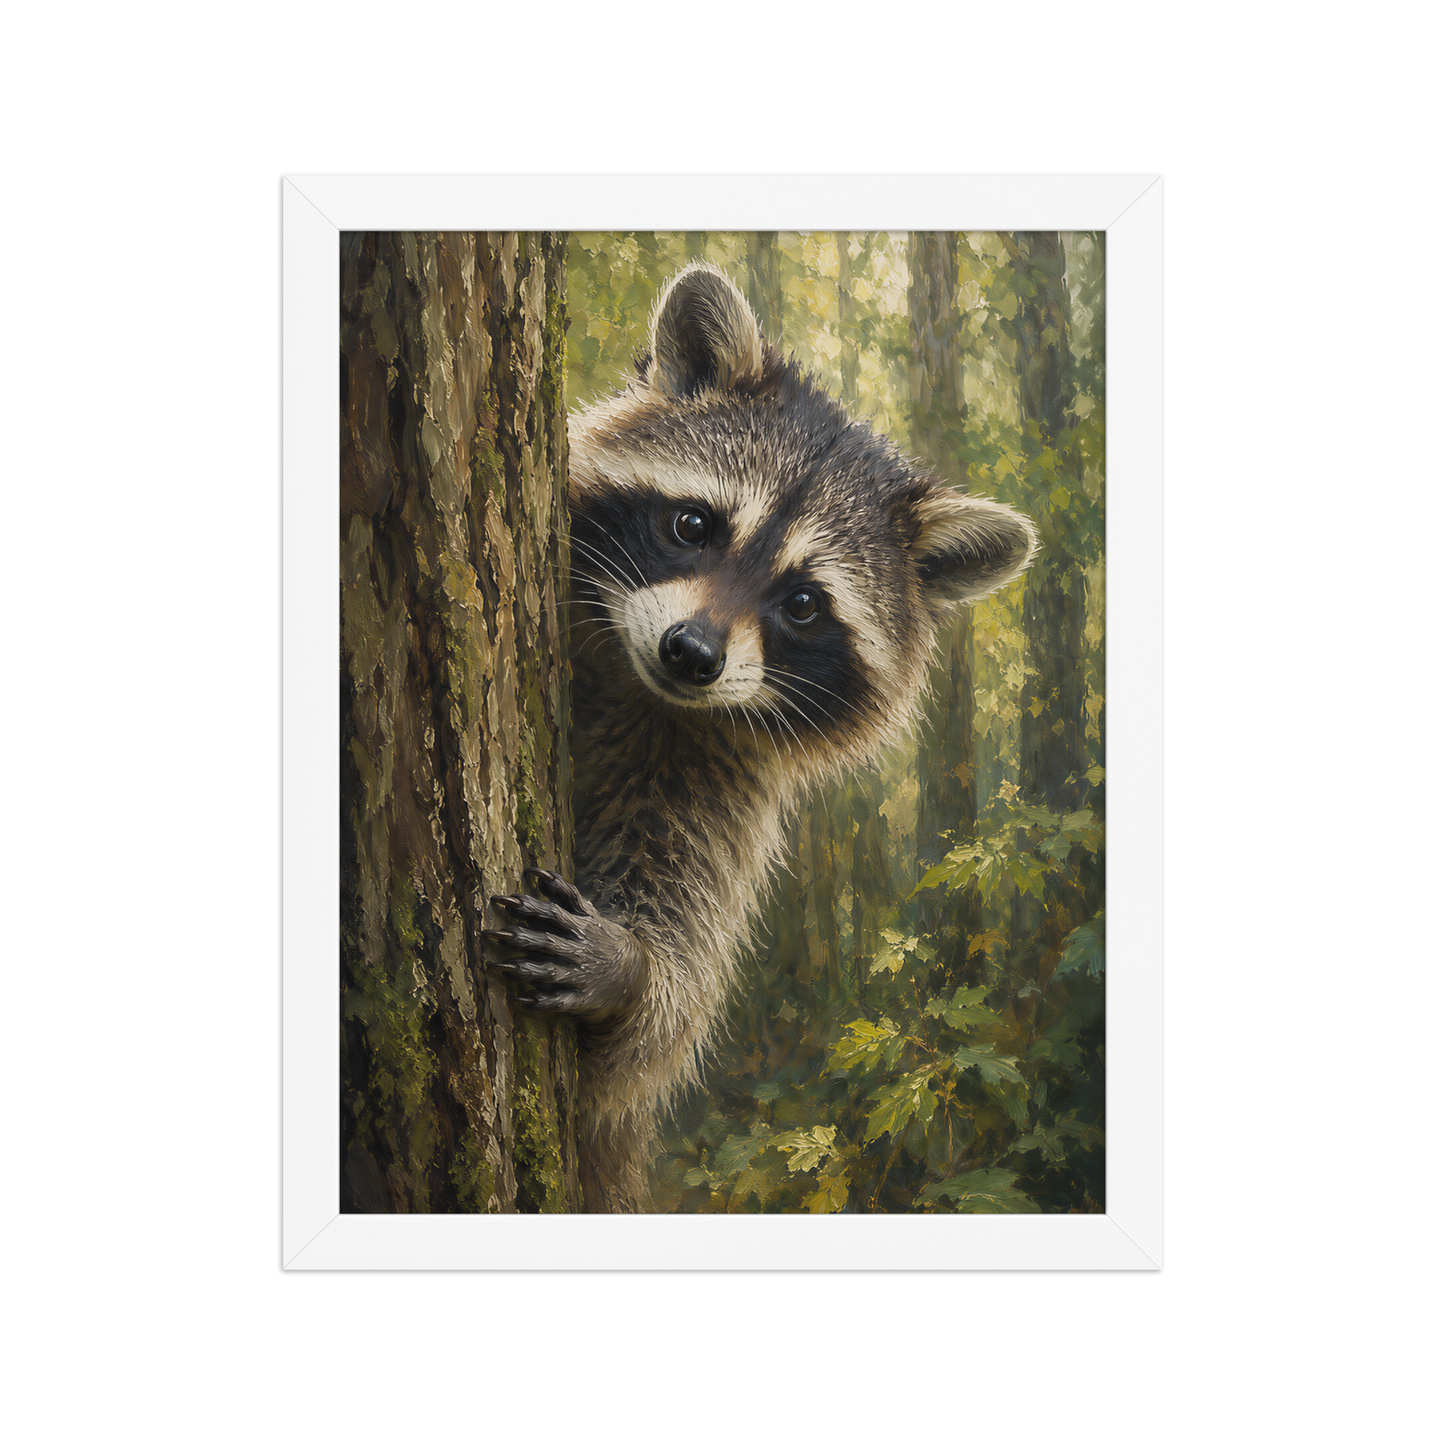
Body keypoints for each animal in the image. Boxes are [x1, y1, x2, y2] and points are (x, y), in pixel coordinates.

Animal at [483, 261, 1038, 1212]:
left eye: (804, 603)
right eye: (693, 524)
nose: (692, 653)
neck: (637, 686)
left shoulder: (716, 783)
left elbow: (652, 1032)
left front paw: (633, 973)